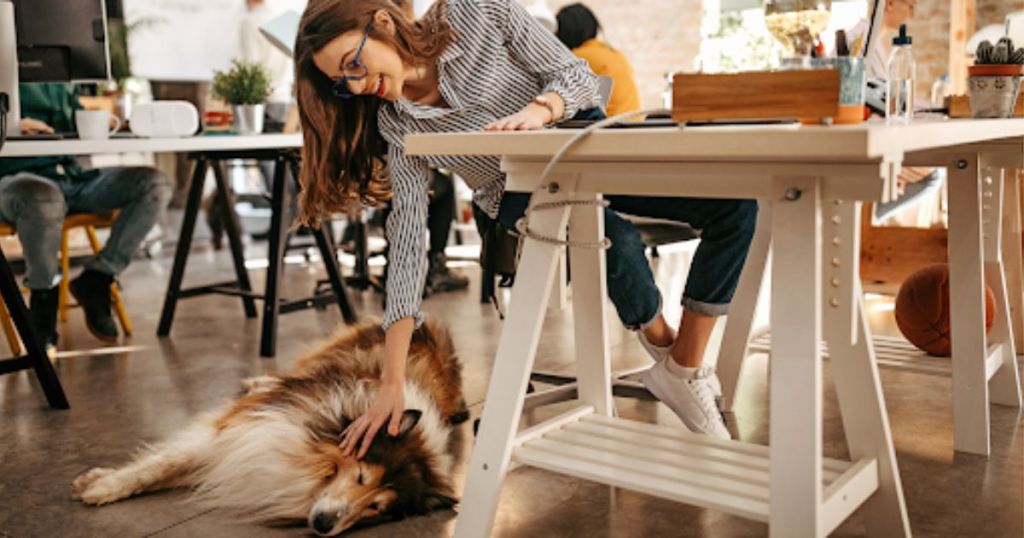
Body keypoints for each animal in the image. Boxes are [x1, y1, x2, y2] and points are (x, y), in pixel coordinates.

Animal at [71, 319, 468, 532]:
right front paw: (101, 486)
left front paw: (98, 482)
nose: (324, 524)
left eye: (376, 509)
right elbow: (159, 466)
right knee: (286, 373)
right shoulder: (239, 429)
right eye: (359, 477)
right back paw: (257, 381)